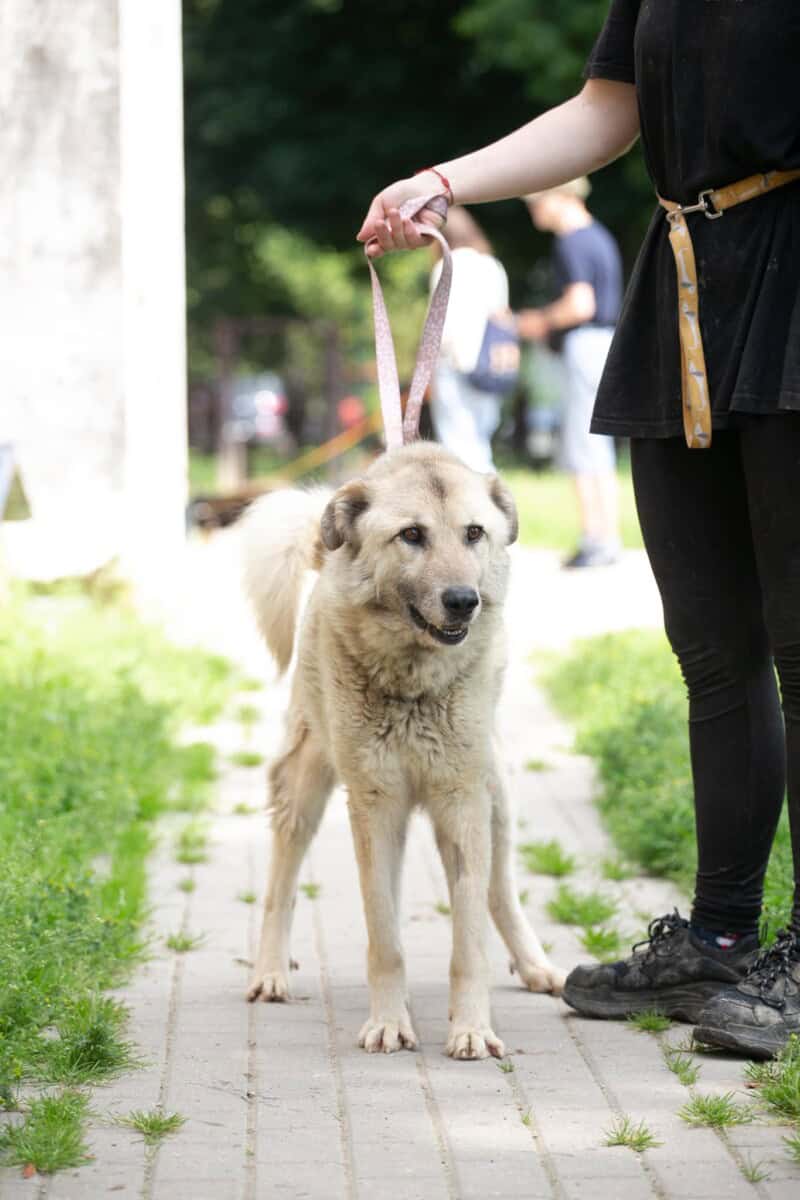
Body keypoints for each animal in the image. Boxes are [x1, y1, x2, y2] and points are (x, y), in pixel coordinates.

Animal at [241, 441, 564, 1059]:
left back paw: (536, 965)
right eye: (412, 535)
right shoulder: (375, 805)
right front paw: (389, 1023)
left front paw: (471, 1028)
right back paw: (270, 971)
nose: (463, 601)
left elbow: (469, 941)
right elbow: (384, 936)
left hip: (496, 795)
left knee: (499, 892)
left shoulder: (462, 803)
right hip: (307, 789)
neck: (415, 683)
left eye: (474, 533)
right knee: (282, 885)